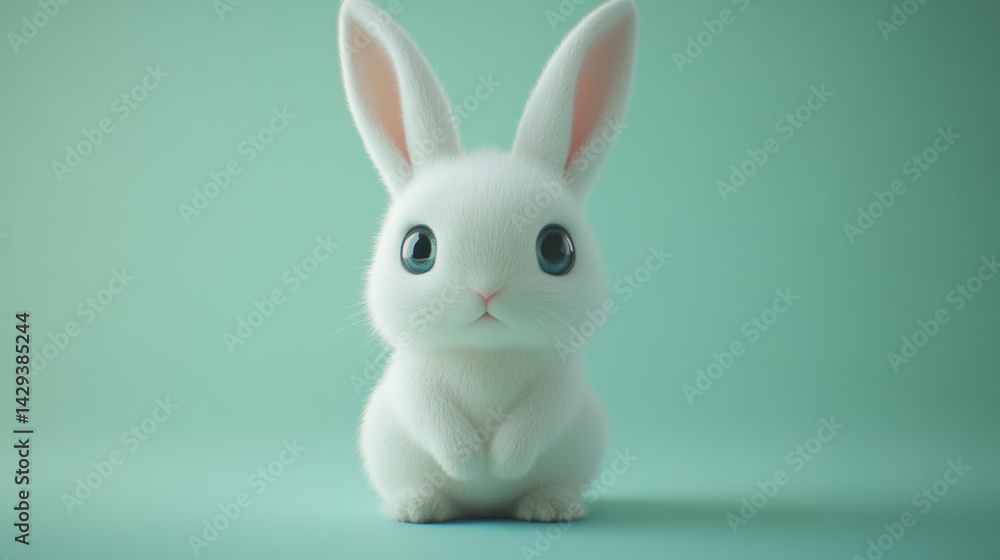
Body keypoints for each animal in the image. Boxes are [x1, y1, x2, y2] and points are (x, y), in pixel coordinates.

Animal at [338, 0, 637, 522]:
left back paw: (549, 506)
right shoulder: (413, 378)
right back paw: (417, 506)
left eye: (557, 250)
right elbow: (428, 410)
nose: (485, 290)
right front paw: (467, 460)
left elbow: (540, 415)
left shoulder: (560, 381)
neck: (485, 354)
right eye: (417, 249)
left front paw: (503, 459)